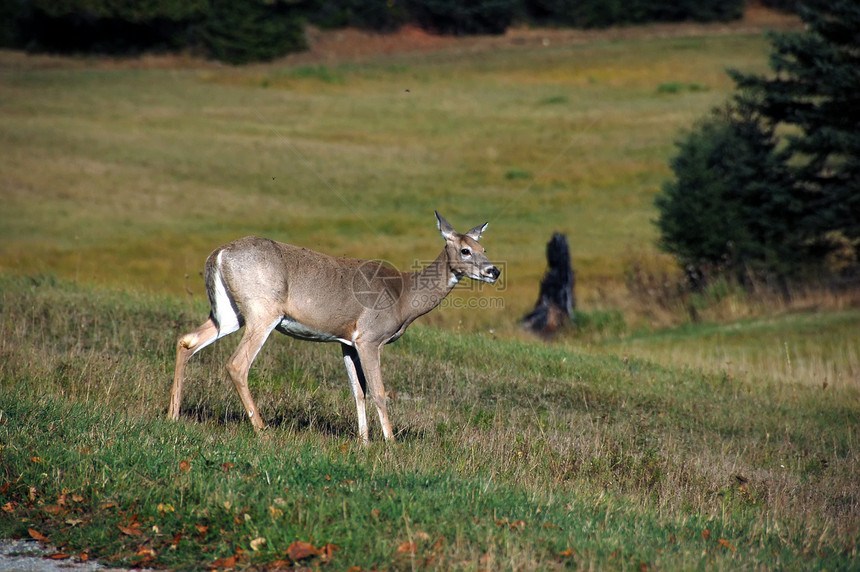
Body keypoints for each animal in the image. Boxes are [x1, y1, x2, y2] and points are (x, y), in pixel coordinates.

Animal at [168, 210, 500, 442]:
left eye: (483, 248)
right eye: (465, 250)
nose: (494, 270)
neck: (404, 296)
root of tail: (219, 254)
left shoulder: (346, 342)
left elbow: (358, 392)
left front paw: (364, 442)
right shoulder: (370, 338)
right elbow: (379, 391)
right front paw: (390, 443)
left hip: (228, 313)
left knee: (187, 340)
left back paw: (173, 415)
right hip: (263, 311)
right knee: (237, 364)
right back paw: (262, 429)